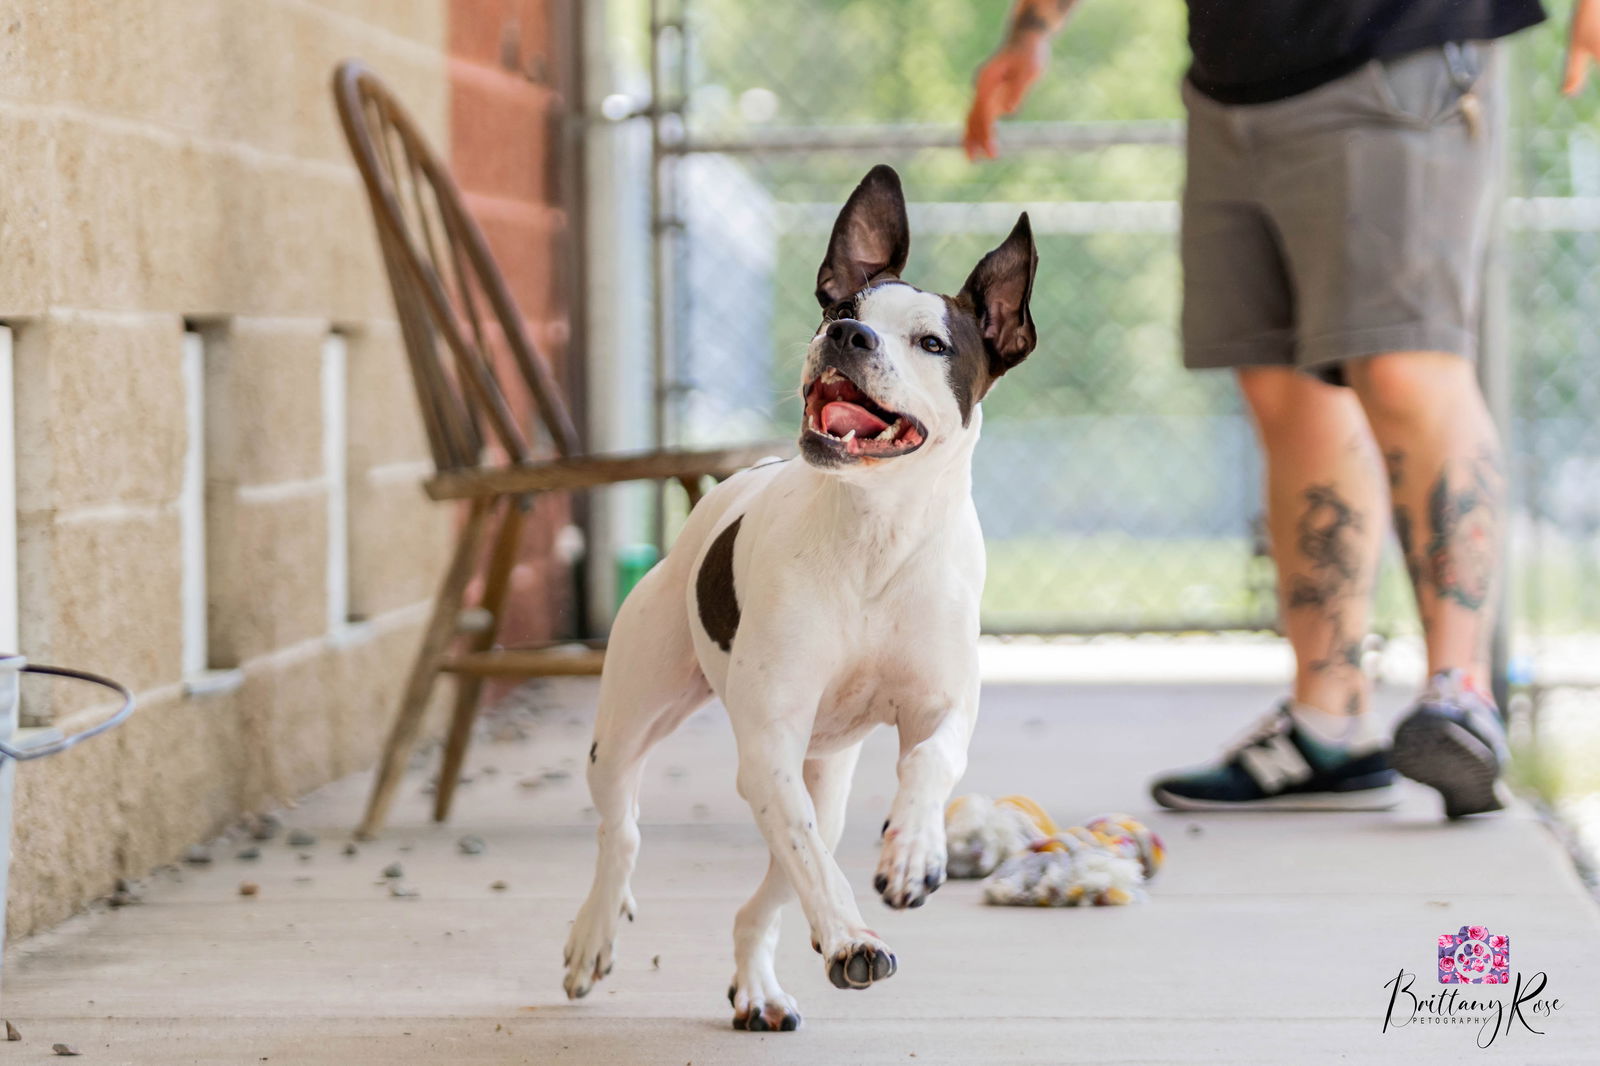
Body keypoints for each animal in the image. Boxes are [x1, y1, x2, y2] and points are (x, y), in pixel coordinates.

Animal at [563, 166, 1036, 1030]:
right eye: (843, 307)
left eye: (933, 342)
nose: (848, 337)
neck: (874, 535)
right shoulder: (770, 743)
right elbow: (814, 860)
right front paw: (853, 937)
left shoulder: (941, 707)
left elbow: (931, 762)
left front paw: (914, 852)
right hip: (633, 725)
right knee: (625, 831)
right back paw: (595, 935)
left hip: (823, 774)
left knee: (768, 890)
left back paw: (756, 985)